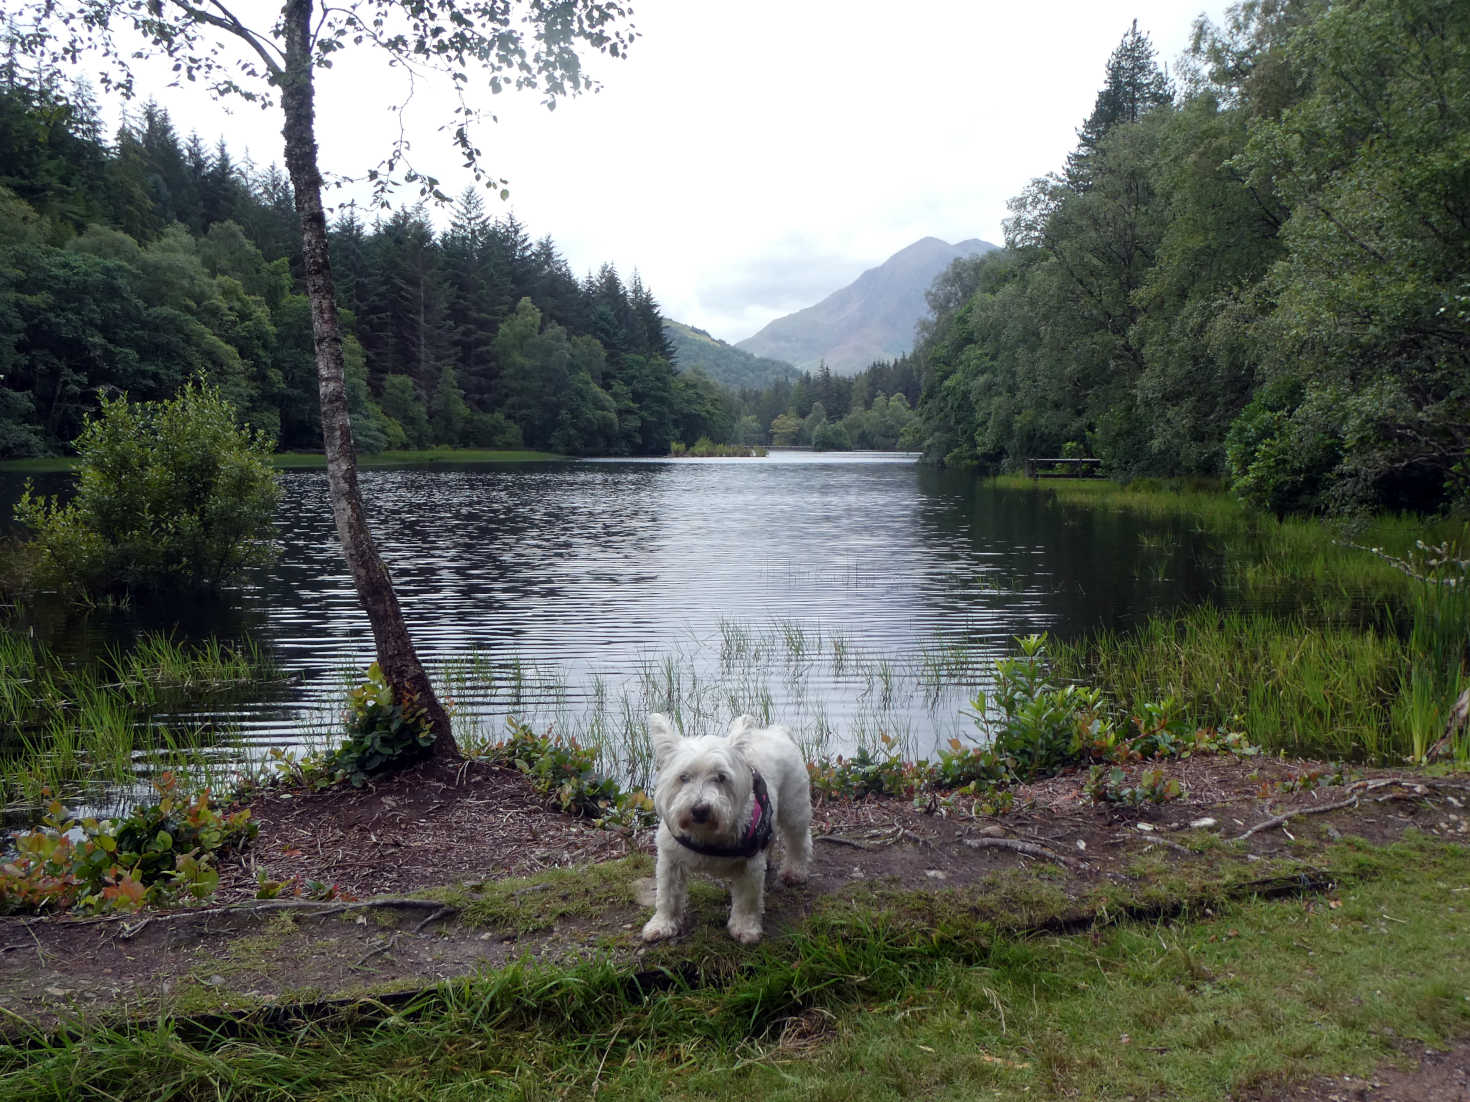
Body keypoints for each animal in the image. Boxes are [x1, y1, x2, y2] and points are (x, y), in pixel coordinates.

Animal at [643, 719, 817, 946]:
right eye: (683, 777)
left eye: (721, 777)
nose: (700, 809)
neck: (707, 835)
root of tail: (778, 731)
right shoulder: (670, 860)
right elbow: (667, 894)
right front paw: (662, 924)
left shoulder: (750, 865)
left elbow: (747, 900)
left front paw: (745, 928)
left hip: (794, 808)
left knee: (799, 841)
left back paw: (794, 872)